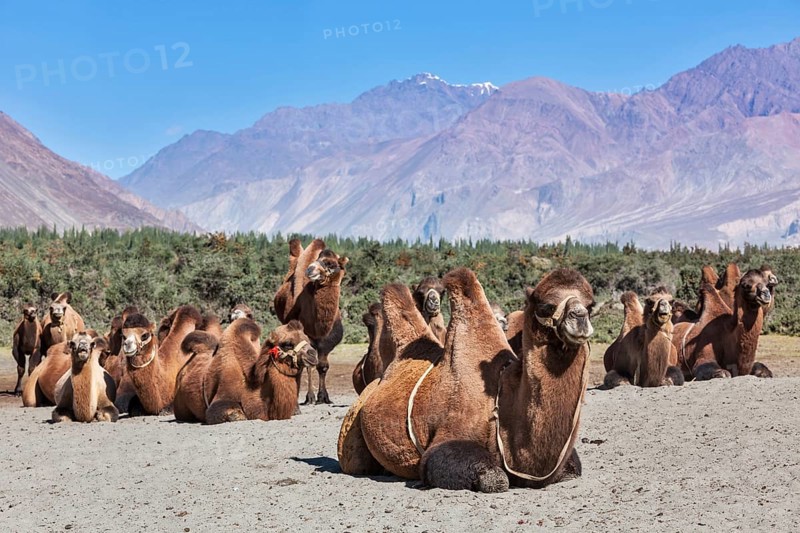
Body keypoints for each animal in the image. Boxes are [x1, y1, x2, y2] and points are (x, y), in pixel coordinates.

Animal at [273, 239, 348, 404]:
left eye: (330, 263)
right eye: (317, 259)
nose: (310, 270)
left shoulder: (328, 341)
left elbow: (323, 366)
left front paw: (324, 397)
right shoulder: (307, 338)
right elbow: (308, 365)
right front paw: (310, 397)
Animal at [338, 267, 594, 492]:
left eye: (590, 305)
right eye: (546, 305)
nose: (580, 317)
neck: (501, 400)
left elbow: (574, 468)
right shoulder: (450, 433)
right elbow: (494, 479)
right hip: (352, 434)